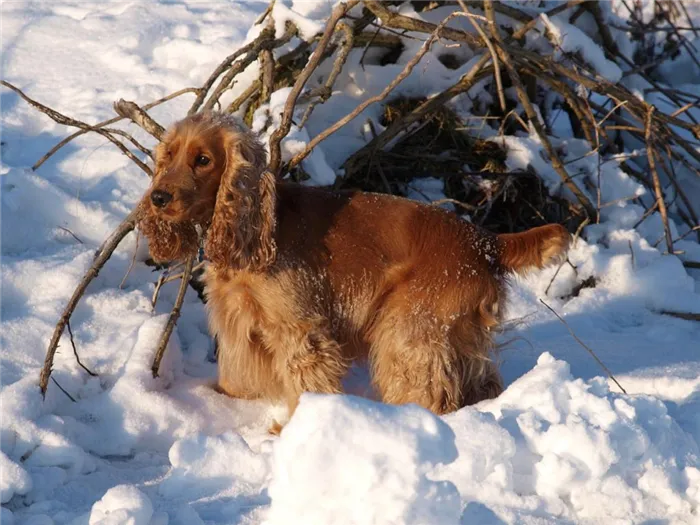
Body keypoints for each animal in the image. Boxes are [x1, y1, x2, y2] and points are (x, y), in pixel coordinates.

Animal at [139, 111, 572, 430]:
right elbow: (233, 379)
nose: (158, 197)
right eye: (169, 155)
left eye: (203, 160)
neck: (256, 228)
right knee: (481, 382)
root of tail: (486, 241)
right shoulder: (238, 321)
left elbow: (305, 384)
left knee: (428, 392)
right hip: (455, 334)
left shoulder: (301, 330)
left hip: (409, 331)